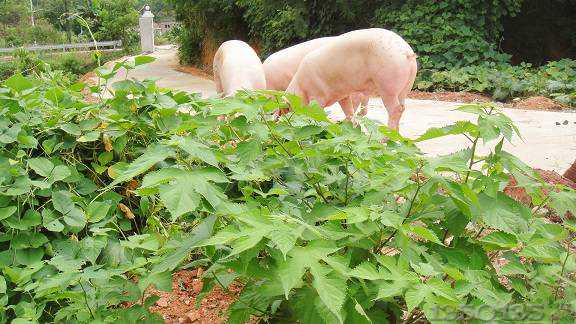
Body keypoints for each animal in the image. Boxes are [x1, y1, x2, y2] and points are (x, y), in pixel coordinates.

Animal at [286, 27, 416, 129]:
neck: (301, 87)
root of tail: (406, 52)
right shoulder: (342, 95)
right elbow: (348, 109)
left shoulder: (318, 96)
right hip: (406, 87)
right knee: (402, 106)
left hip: (387, 84)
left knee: (396, 109)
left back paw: (384, 140)